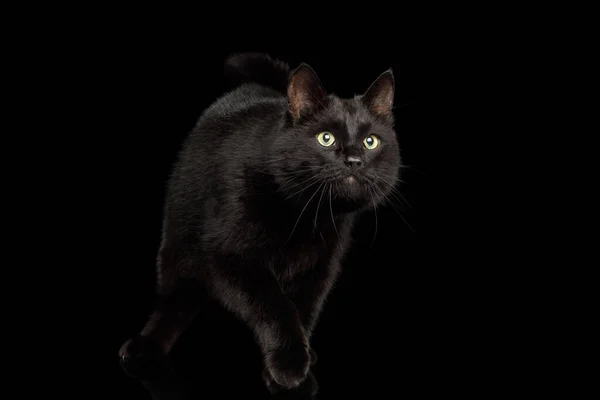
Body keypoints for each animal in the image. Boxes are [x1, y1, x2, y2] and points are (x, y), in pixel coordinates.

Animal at [119, 53, 400, 396]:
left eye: (370, 142)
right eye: (326, 138)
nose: (354, 161)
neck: (306, 215)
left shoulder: (320, 267)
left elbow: (304, 309)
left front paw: (293, 363)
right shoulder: (230, 257)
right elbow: (274, 306)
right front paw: (290, 365)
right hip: (177, 243)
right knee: (174, 300)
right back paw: (143, 347)